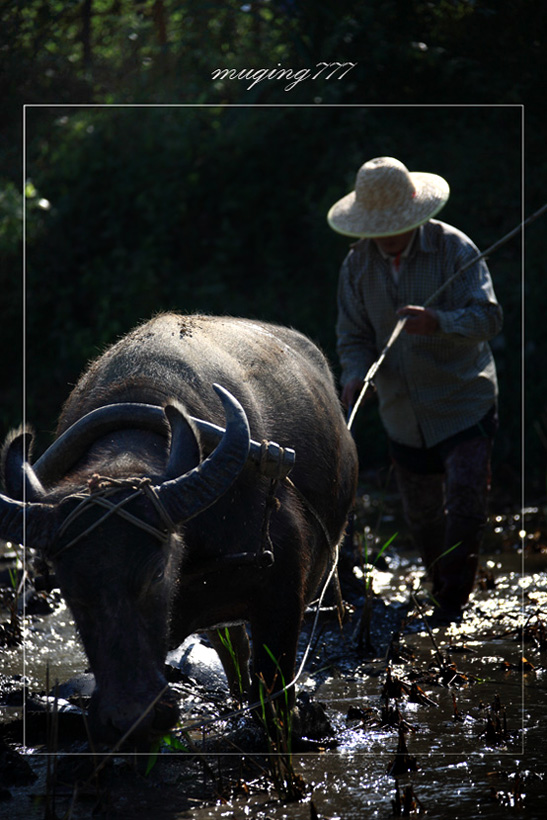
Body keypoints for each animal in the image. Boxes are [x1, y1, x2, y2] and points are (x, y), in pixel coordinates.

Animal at [1, 312, 360, 744]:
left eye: (156, 573)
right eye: (69, 589)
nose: (130, 714)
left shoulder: (283, 596)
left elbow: (274, 698)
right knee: (233, 651)